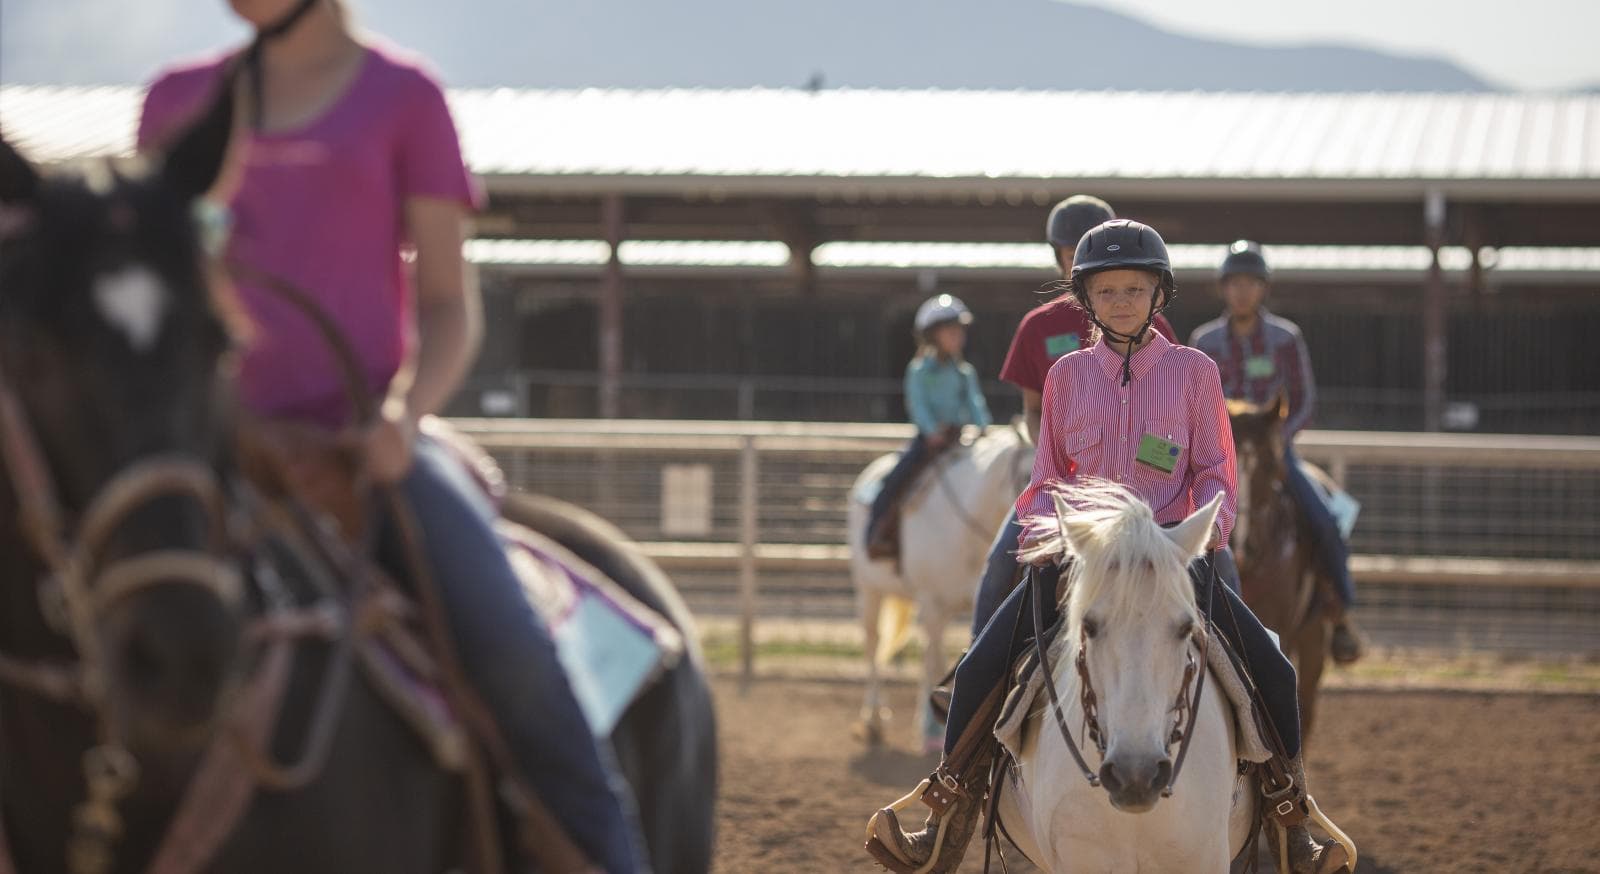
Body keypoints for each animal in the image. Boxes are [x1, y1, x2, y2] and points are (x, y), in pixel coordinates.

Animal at [851, 422, 1036, 749]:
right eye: (1026, 475)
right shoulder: (933, 605)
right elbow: (933, 661)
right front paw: (931, 729)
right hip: (868, 590)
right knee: (873, 646)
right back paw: (873, 719)